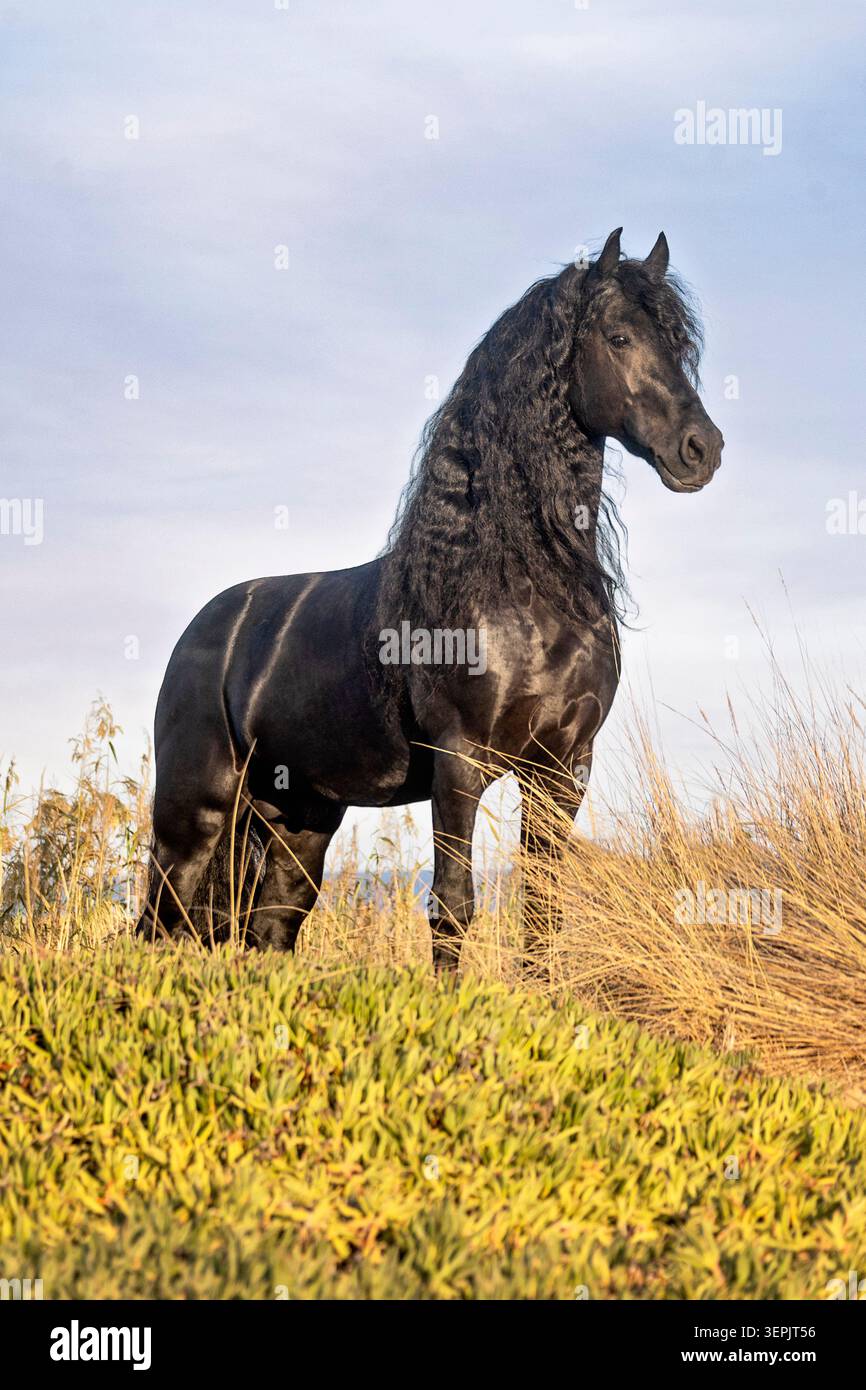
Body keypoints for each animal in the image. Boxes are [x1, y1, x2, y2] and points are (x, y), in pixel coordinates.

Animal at [136, 228, 723, 968]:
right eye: (618, 337)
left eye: (679, 343)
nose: (701, 449)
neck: (519, 589)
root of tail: (206, 630)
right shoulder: (460, 763)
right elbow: (453, 907)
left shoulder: (562, 770)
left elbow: (541, 914)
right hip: (195, 813)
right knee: (158, 921)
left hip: (298, 818)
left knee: (269, 927)